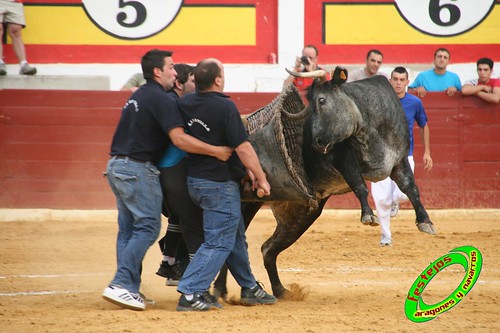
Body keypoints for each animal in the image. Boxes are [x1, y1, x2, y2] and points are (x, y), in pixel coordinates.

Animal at [213, 68, 436, 296]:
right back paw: (222, 290)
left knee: (267, 249)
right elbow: (360, 186)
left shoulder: (399, 161)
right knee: (235, 243)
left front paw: (425, 222)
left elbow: (411, 187)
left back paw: (280, 290)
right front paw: (368, 216)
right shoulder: (343, 160)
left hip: (301, 214)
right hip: (248, 202)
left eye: (321, 100)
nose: (317, 141)